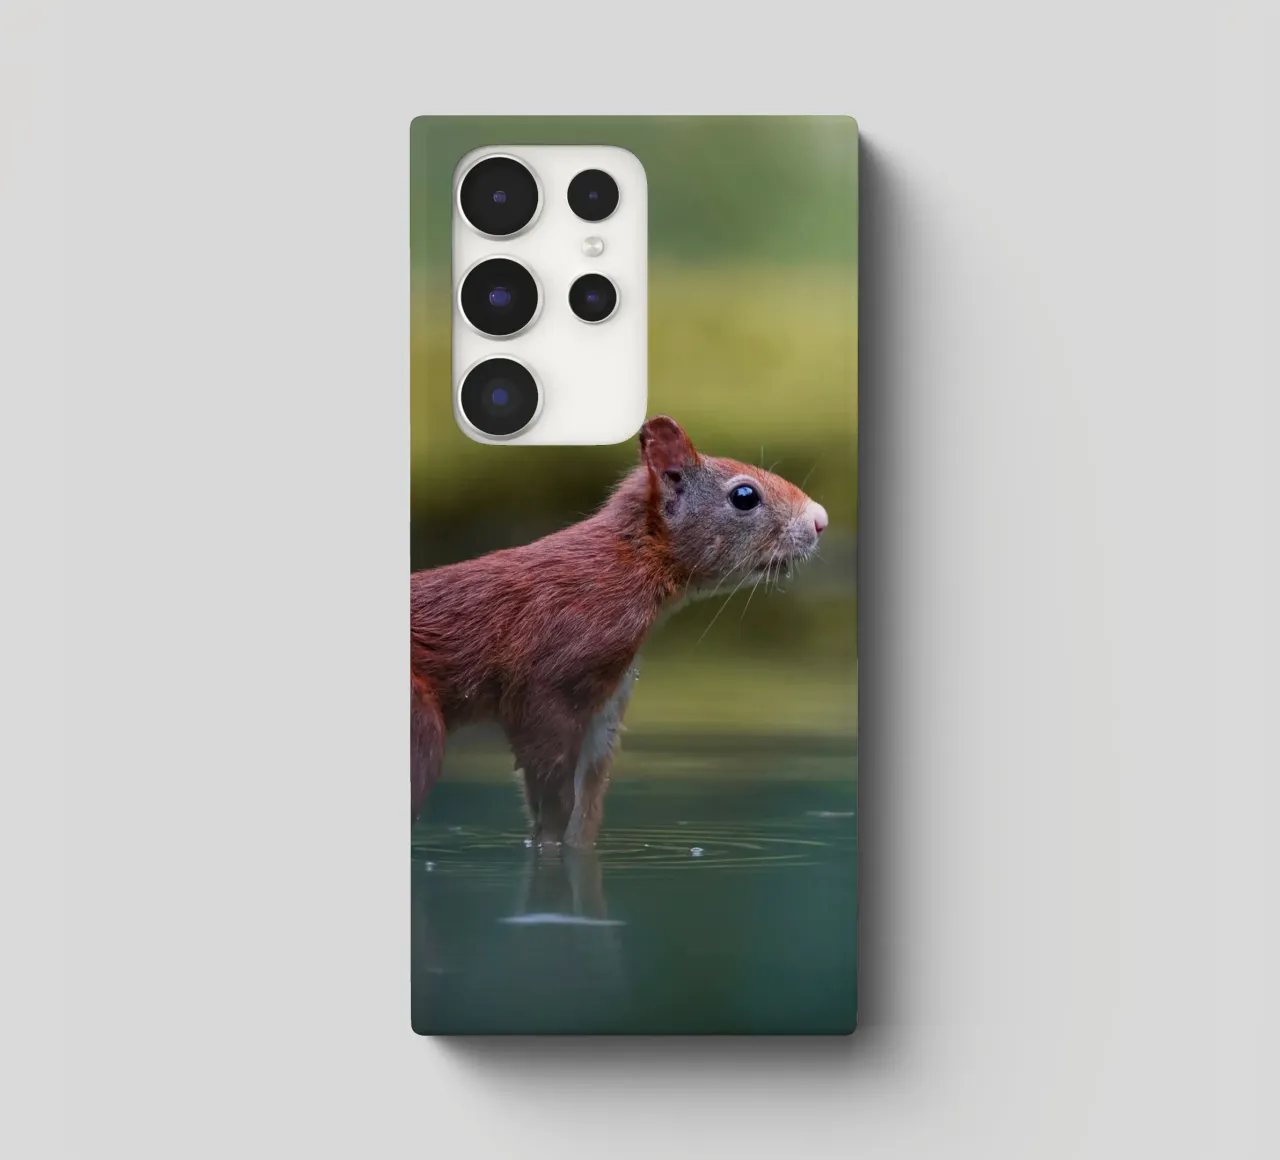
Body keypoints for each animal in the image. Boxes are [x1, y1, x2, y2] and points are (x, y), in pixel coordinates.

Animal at [409, 415, 828, 846]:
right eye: (744, 496)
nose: (820, 520)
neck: (629, 563)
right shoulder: (553, 673)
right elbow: (551, 795)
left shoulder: (607, 704)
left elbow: (586, 808)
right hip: (420, 728)